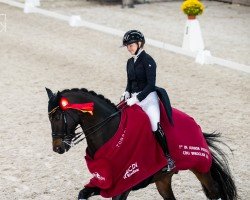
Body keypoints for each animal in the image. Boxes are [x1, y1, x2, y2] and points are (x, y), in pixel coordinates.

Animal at [46, 87, 237, 200]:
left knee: (214, 191)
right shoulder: (105, 183)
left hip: (200, 167)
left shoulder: (123, 186)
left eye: (57, 117)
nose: (57, 148)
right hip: (162, 180)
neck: (110, 134)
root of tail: (196, 125)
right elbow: (82, 194)